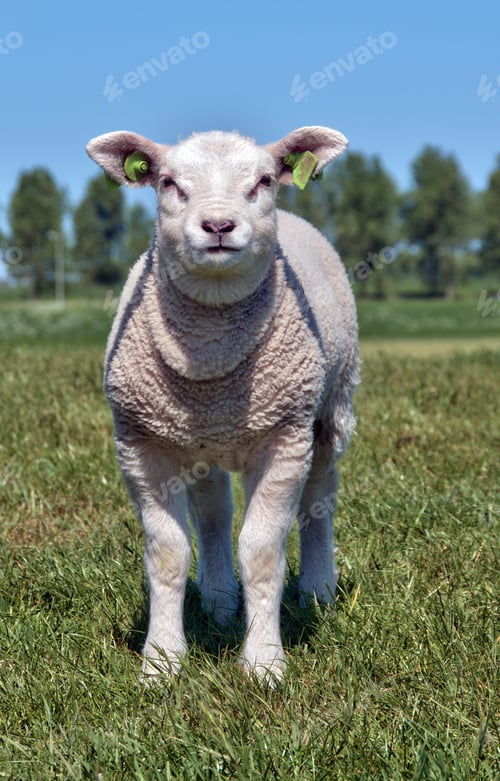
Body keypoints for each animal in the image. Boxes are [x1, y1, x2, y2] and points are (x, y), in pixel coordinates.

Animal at [86, 125, 360, 683]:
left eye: (263, 181)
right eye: (168, 182)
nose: (217, 225)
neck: (210, 358)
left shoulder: (285, 439)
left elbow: (261, 551)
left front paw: (263, 663)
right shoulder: (140, 445)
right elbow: (167, 553)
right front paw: (162, 662)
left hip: (330, 409)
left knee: (320, 496)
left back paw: (317, 591)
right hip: (199, 441)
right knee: (213, 511)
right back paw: (219, 601)